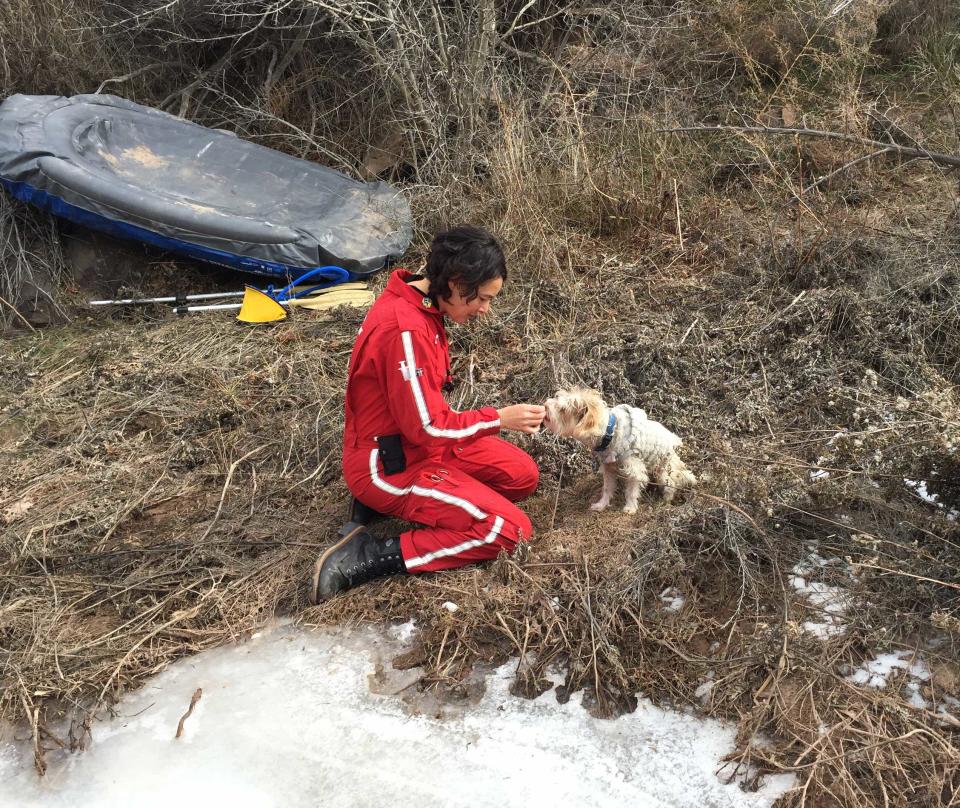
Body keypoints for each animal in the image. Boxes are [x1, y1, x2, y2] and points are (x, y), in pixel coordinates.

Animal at [544, 388, 692, 516]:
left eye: (563, 409)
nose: (545, 405)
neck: (609, 432)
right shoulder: (608, 467)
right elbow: (607, 489)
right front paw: (601, 505)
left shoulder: (635, 470)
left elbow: (631, 491)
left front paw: (630, 508)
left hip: (663, 471)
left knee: (671, 485)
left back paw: (665, 502)